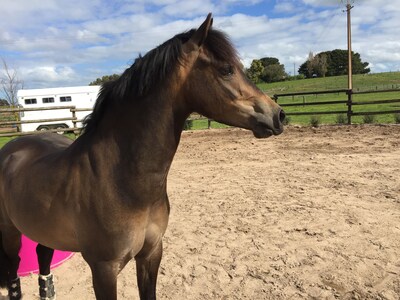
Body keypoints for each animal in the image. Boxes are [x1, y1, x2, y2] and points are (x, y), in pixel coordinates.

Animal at [0, 14, 284, 300]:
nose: (278, 115)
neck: (122, 182)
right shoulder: (104, 268)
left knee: (43, 259)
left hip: (43, 231)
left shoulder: (151, 253)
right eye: (226, 69)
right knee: (13, 272)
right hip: (10, 234)